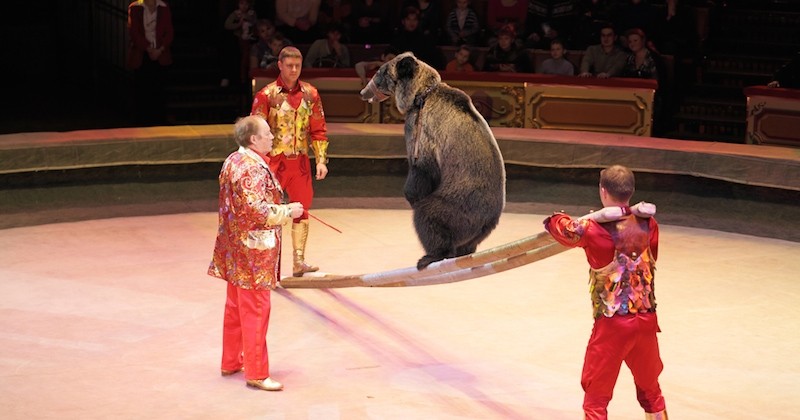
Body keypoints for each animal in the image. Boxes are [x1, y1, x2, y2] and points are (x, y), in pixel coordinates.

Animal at [360, 52, 506, 270]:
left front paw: (411, 195)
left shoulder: (422, 131)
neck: (419, 96)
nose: (363, 92)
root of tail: (488, 221)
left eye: (378, 73)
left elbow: (421, 170)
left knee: (429, 216)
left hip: (460, 204)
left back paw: (430, 256)